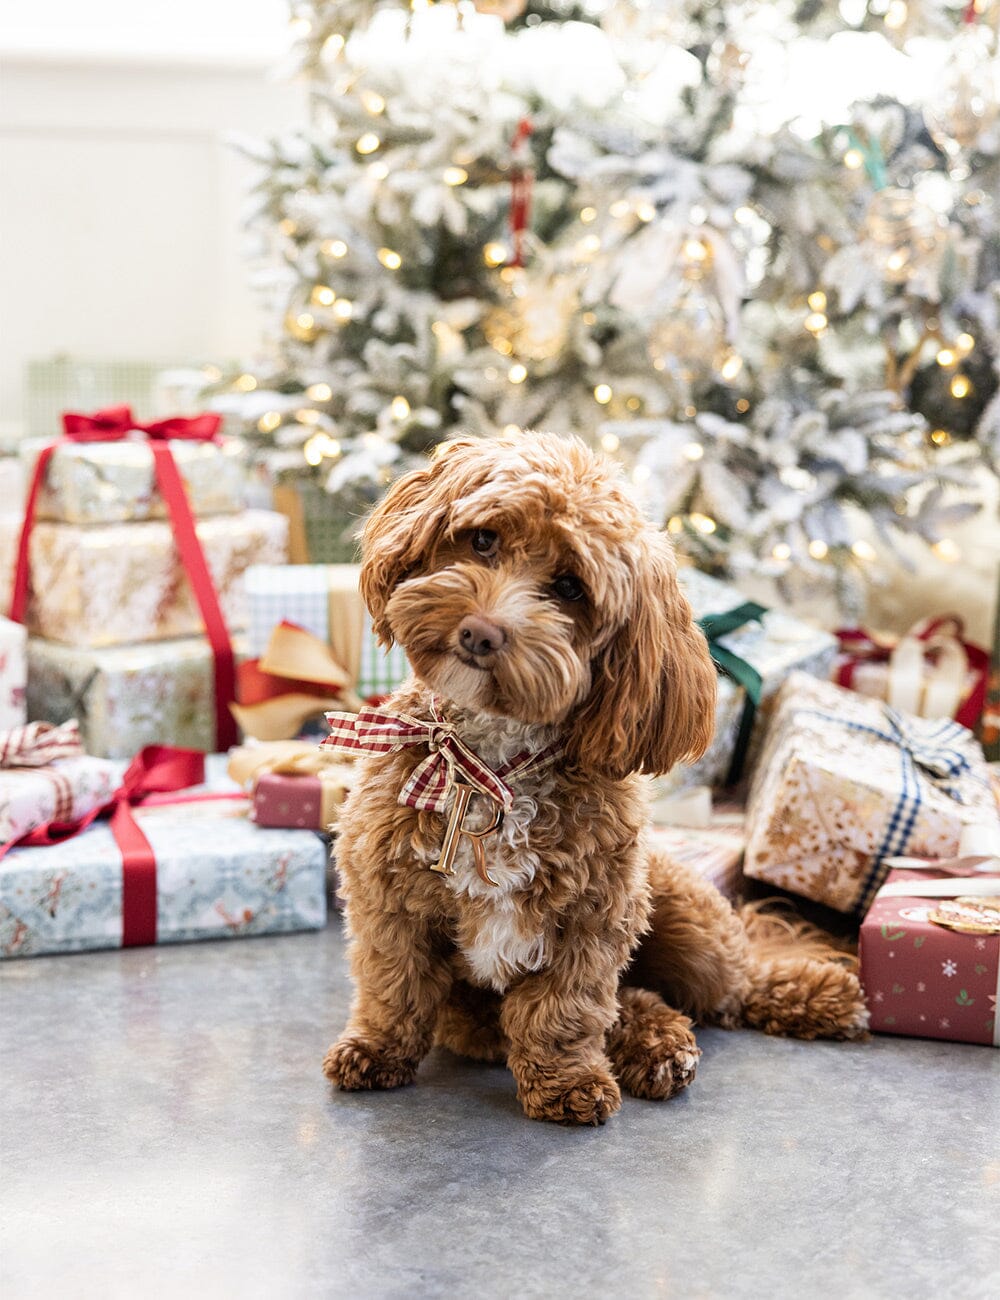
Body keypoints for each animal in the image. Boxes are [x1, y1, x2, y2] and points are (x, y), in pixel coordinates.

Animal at [325, 431, 863, 1123]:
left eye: (569, 588)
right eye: (482, 540)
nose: (480, 632)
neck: (491, 767)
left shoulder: (594, 917)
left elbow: (563, 1010)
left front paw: (567, 1083)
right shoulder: (388, 897)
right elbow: (393, 984)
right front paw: (375, 1050)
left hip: (688, 922)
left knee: (733, 984)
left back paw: (812, 997)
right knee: (640, 1002)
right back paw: (660, 1045)